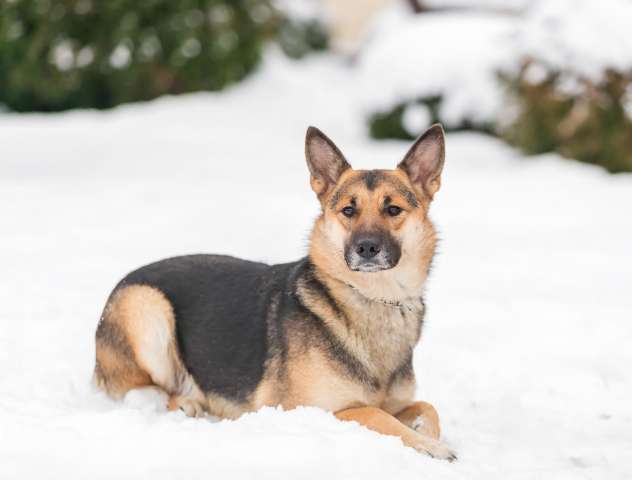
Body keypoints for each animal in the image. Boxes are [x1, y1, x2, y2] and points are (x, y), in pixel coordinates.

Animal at [94, 124, 454, 462]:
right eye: (348, 211)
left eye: (393, 210)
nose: (366, 248)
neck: (372, 298)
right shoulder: (314, 410)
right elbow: (377, 414)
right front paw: (430, 446)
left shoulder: (401, 401)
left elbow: (428, 407)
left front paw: (428, 434)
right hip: (147, 306)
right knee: (147, 391)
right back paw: (186, 403)